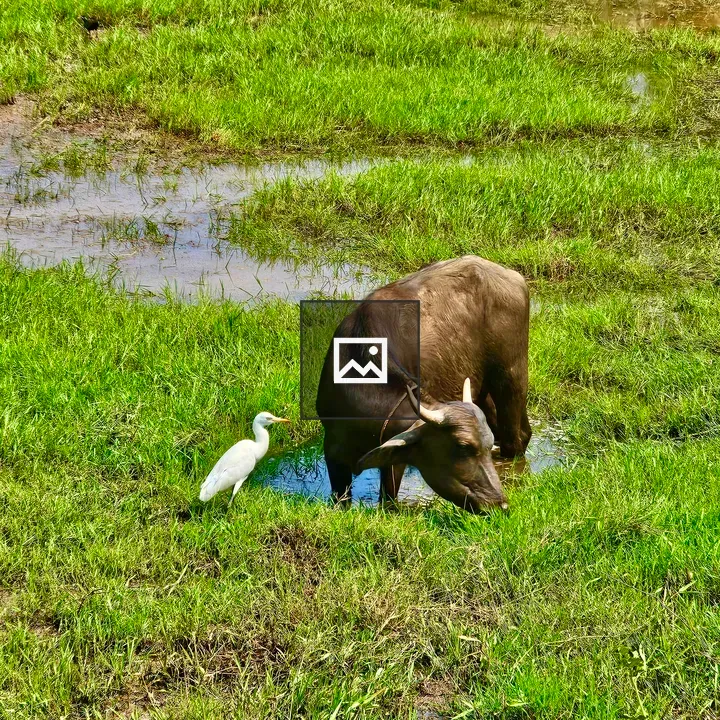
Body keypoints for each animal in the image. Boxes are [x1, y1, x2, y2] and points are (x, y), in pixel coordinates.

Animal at [315, 255, 531, 512]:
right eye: (463, 447)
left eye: (485, 448)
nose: (499, 503)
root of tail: (514, 277)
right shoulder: (333, 450)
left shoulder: (394, 462)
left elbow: (388, 499)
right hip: (484, 389)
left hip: (511, 375)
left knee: (515, 439)